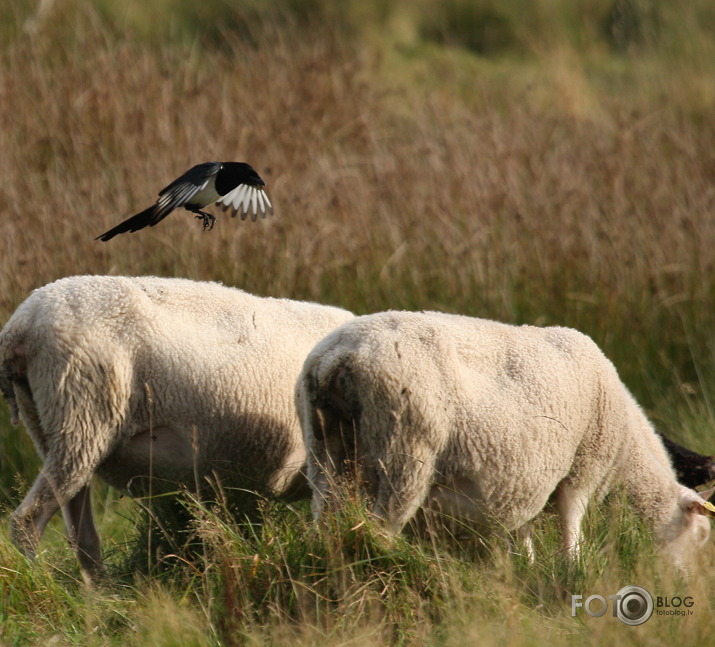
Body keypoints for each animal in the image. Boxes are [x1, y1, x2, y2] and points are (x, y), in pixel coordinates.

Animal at [1, 276, 354, 580]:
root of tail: (21, 324)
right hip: (82, 413)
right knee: (27, 521)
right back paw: (44, 586)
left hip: (55, 427)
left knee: (80, 531)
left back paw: (100, 598)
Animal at [298, 312, 715, 568]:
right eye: (701, 536)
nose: (687, 584)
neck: (627, 447)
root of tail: (338, 356)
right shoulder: (583, 467)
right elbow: (572, 526)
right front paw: (573, 566)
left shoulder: (526, 480)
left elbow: (523, 530)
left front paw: (527, 564)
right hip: (405, 449)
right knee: (384, 527)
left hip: (324, 445)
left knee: (325, 512)